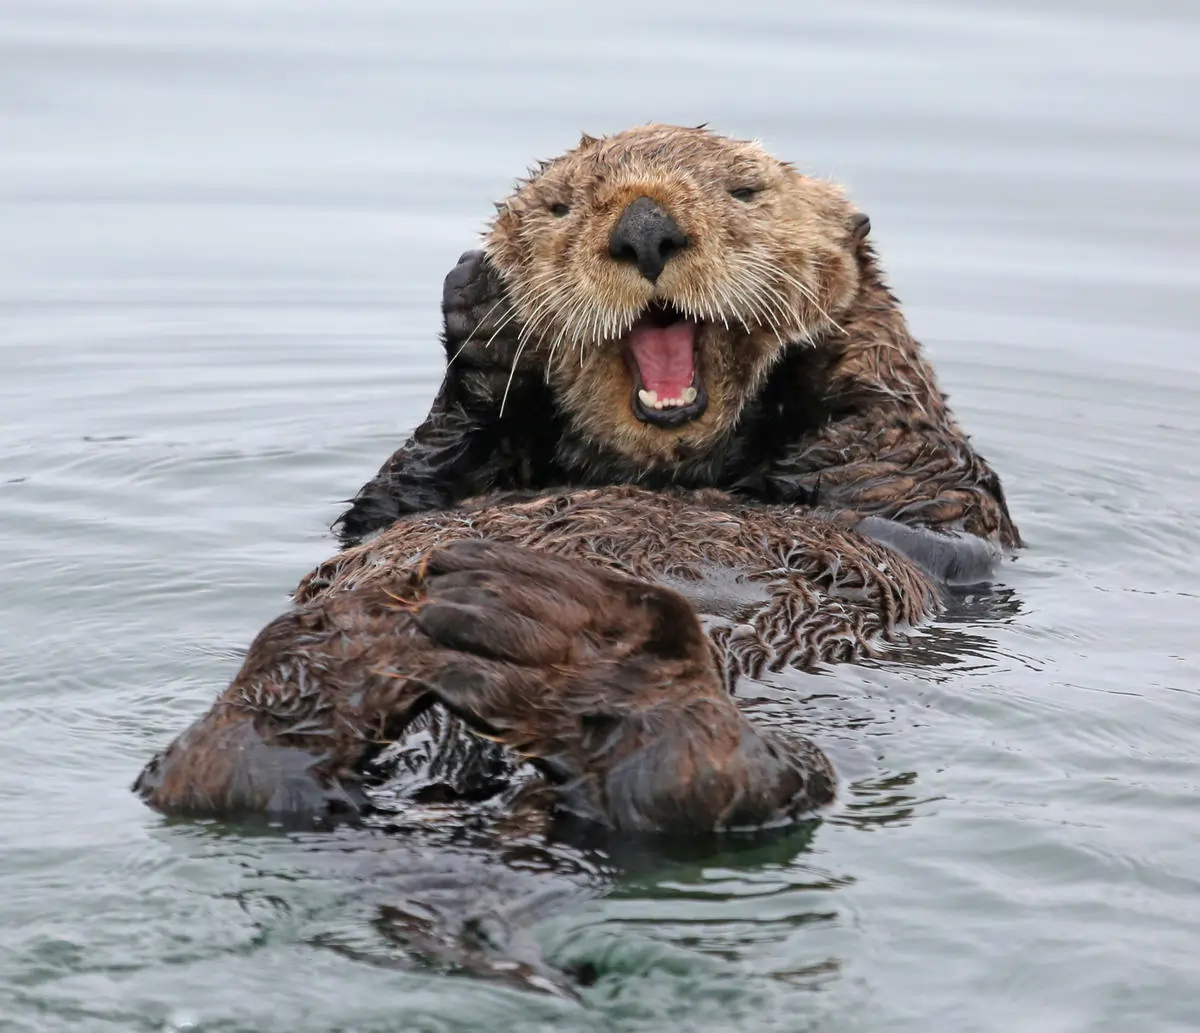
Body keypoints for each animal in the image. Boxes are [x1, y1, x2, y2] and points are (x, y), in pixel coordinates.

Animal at [135, 125, 1019, 836]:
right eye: (561, 207)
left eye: (746, 191)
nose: (645, 227)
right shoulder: (402, 499)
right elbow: (389, 504)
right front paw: (482, 317)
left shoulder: (925, 477)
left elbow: (889, 448)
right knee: (231, 780)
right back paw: (341, 645)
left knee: (694, 786)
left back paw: (580, 649)